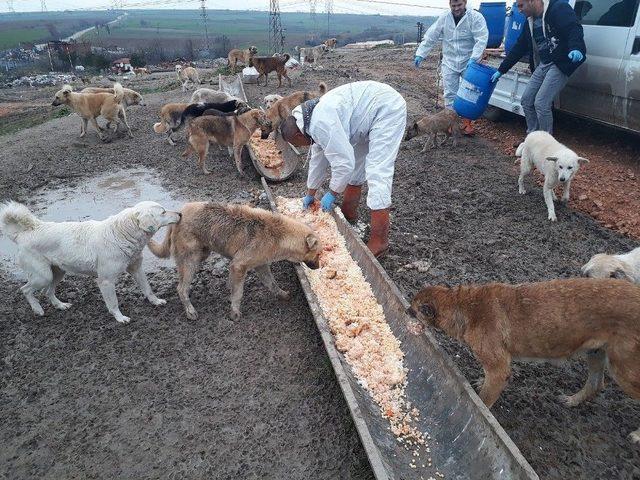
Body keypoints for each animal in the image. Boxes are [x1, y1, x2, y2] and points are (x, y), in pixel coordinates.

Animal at [0, 201, 180, 324]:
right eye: (163, 212)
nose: (180, 214)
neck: (122, 233)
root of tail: (23, 234)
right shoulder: (106, 281)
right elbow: (113, 303)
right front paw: (120, 318)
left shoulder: (137, 269)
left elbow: (147, 288)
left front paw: (156, 301)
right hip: (42, 276)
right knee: (25, 289)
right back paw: (37, 309)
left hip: (57, 273)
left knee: (47, 291)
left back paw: (60, 305)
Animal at [148, 201, 322, 320]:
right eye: (319, 254)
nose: (319, 268)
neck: (279, 236)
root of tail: (180, 213)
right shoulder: (239, 265)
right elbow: (238, 293)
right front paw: (235, 312)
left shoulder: (261, 265)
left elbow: (271, 283)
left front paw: (281, 294)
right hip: (191, 261)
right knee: (181, 288)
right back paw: (190, 310)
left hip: (202, 253)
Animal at [410, 280, 640, 444]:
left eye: (413, 309)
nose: (406, 311)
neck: (465, 306)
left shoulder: (499, 369)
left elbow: (483, 403)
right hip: (596, 352)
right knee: (596, 383)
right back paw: (573, 400)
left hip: (624, 370)